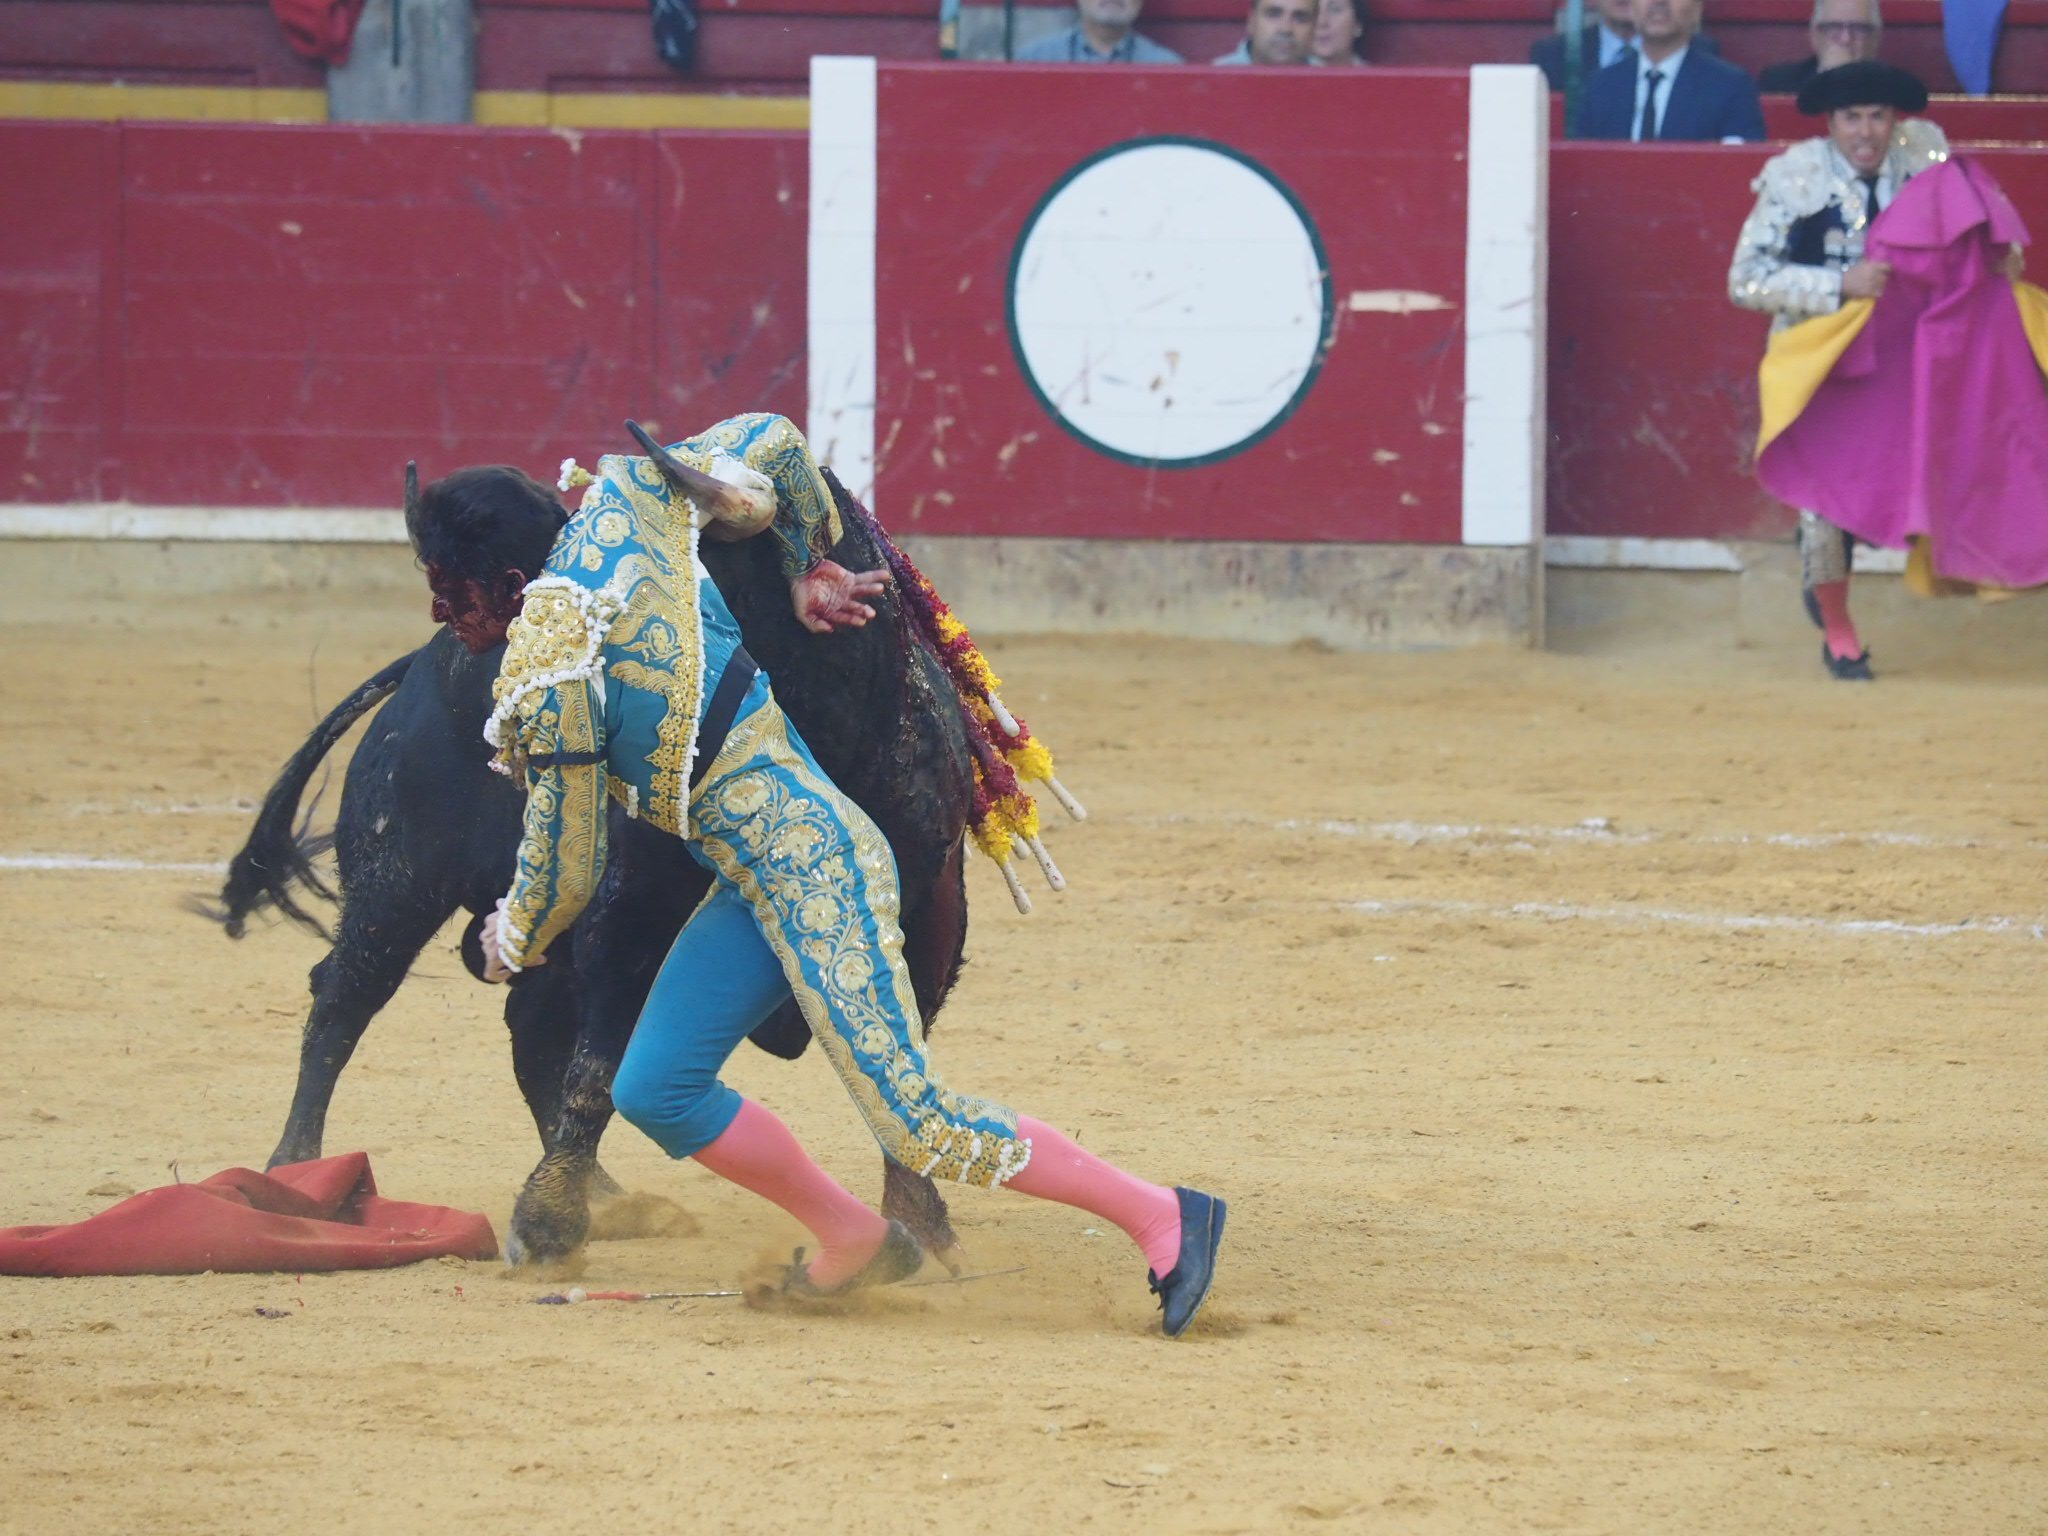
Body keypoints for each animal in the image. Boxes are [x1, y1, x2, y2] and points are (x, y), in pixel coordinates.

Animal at [207, 479, 974, 1261]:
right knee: (343, 1000)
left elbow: (901, 1057)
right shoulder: (632, 906)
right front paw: (546, 1222)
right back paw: (295, 1170)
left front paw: (919, 1216)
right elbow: (600, 1065)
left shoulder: (930, 911)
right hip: (397, 885)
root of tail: (422, 665)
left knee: (527, 1025)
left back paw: (606, 1193)